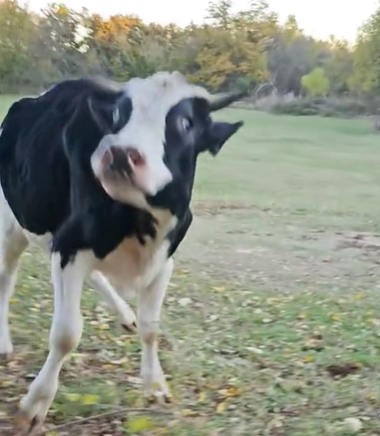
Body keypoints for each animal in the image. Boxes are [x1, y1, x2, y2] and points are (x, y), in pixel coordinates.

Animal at [0, 71, 243, 432]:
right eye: (118, 115)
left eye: (185, 122)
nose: (119, 153)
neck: (139, 222)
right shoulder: (69, 245)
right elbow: (66, 334)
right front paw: (35, 404)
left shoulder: (163, 260)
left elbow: (151, 327)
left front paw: (155, 385)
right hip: (10, 223)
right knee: (6, 279)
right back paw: (3, 342)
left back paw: (125, 314)